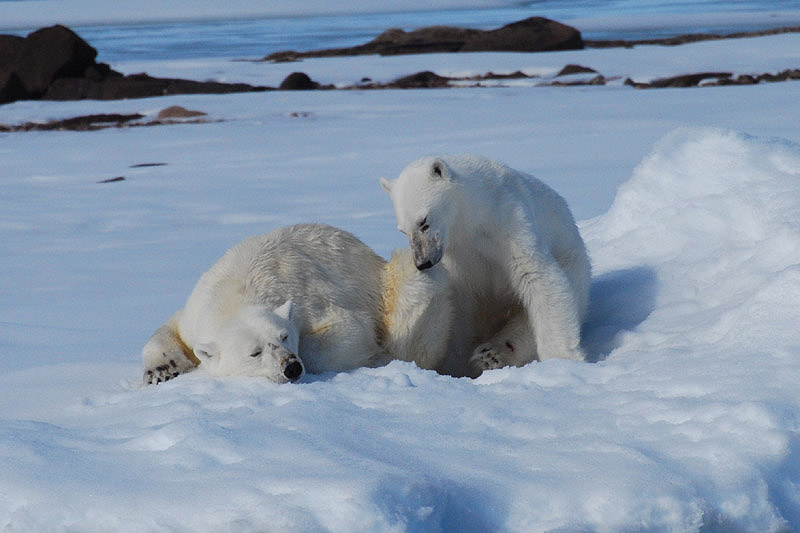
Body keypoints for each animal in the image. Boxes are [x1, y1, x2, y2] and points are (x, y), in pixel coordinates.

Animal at [141, 223, 452, 384]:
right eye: (254, 352)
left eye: (284, 336)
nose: (290, 367)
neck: (237, 293)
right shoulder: (196, 311)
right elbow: (169, 329)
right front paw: (161, 371)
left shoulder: (309, 298)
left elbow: (350, 329)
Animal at [380, 154, 591, 377]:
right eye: (403, 231)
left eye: (424, 222)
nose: (423, 262)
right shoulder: (458, 257)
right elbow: (458, 307)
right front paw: (453, 364)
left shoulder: (509, 221)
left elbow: (536, 275)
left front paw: (562, 359)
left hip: (573, 262)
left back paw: (491, 353)